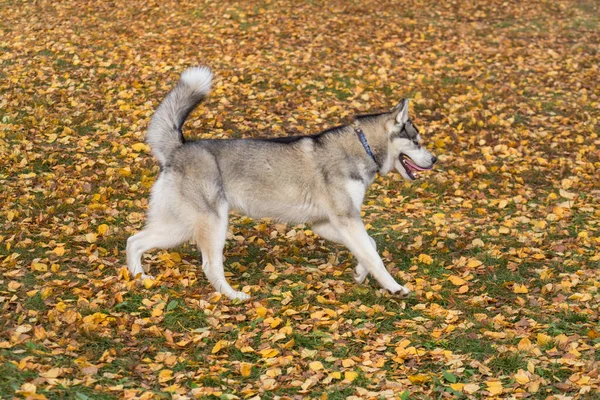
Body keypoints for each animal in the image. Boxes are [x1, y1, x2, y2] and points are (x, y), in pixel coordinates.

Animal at [126, 67, 436, 302]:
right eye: (417, 141)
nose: (434, 159)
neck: (363, 146)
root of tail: (179, 148)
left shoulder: (326, 223)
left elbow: (369, 245)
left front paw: (360, 272)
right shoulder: (346, 220)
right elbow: (375, 256)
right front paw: (394, 287)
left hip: (180, 227)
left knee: (134, 241)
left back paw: (137, 277)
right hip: (213, 224)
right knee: (210, 266)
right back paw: (233, 295)